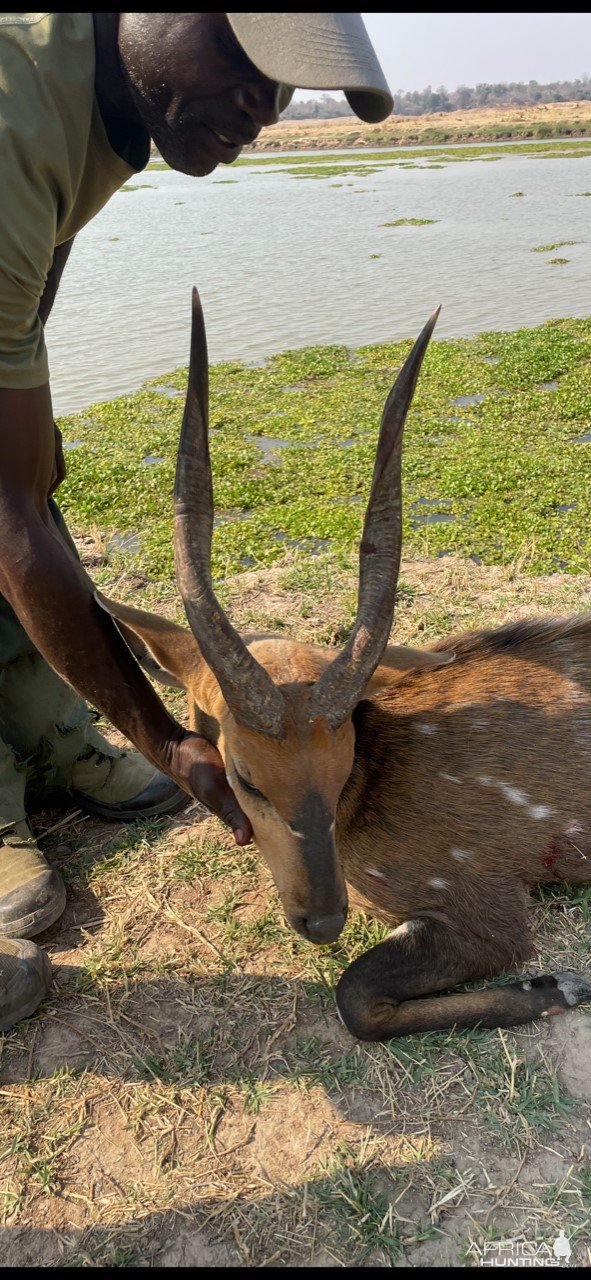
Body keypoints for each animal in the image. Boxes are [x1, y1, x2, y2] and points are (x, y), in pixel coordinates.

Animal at [99, 288, 591, 1039]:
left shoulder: (484, 901)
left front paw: (558, 982)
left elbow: (355, 997)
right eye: (246, 776)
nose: (324, 921)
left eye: (342, 764)